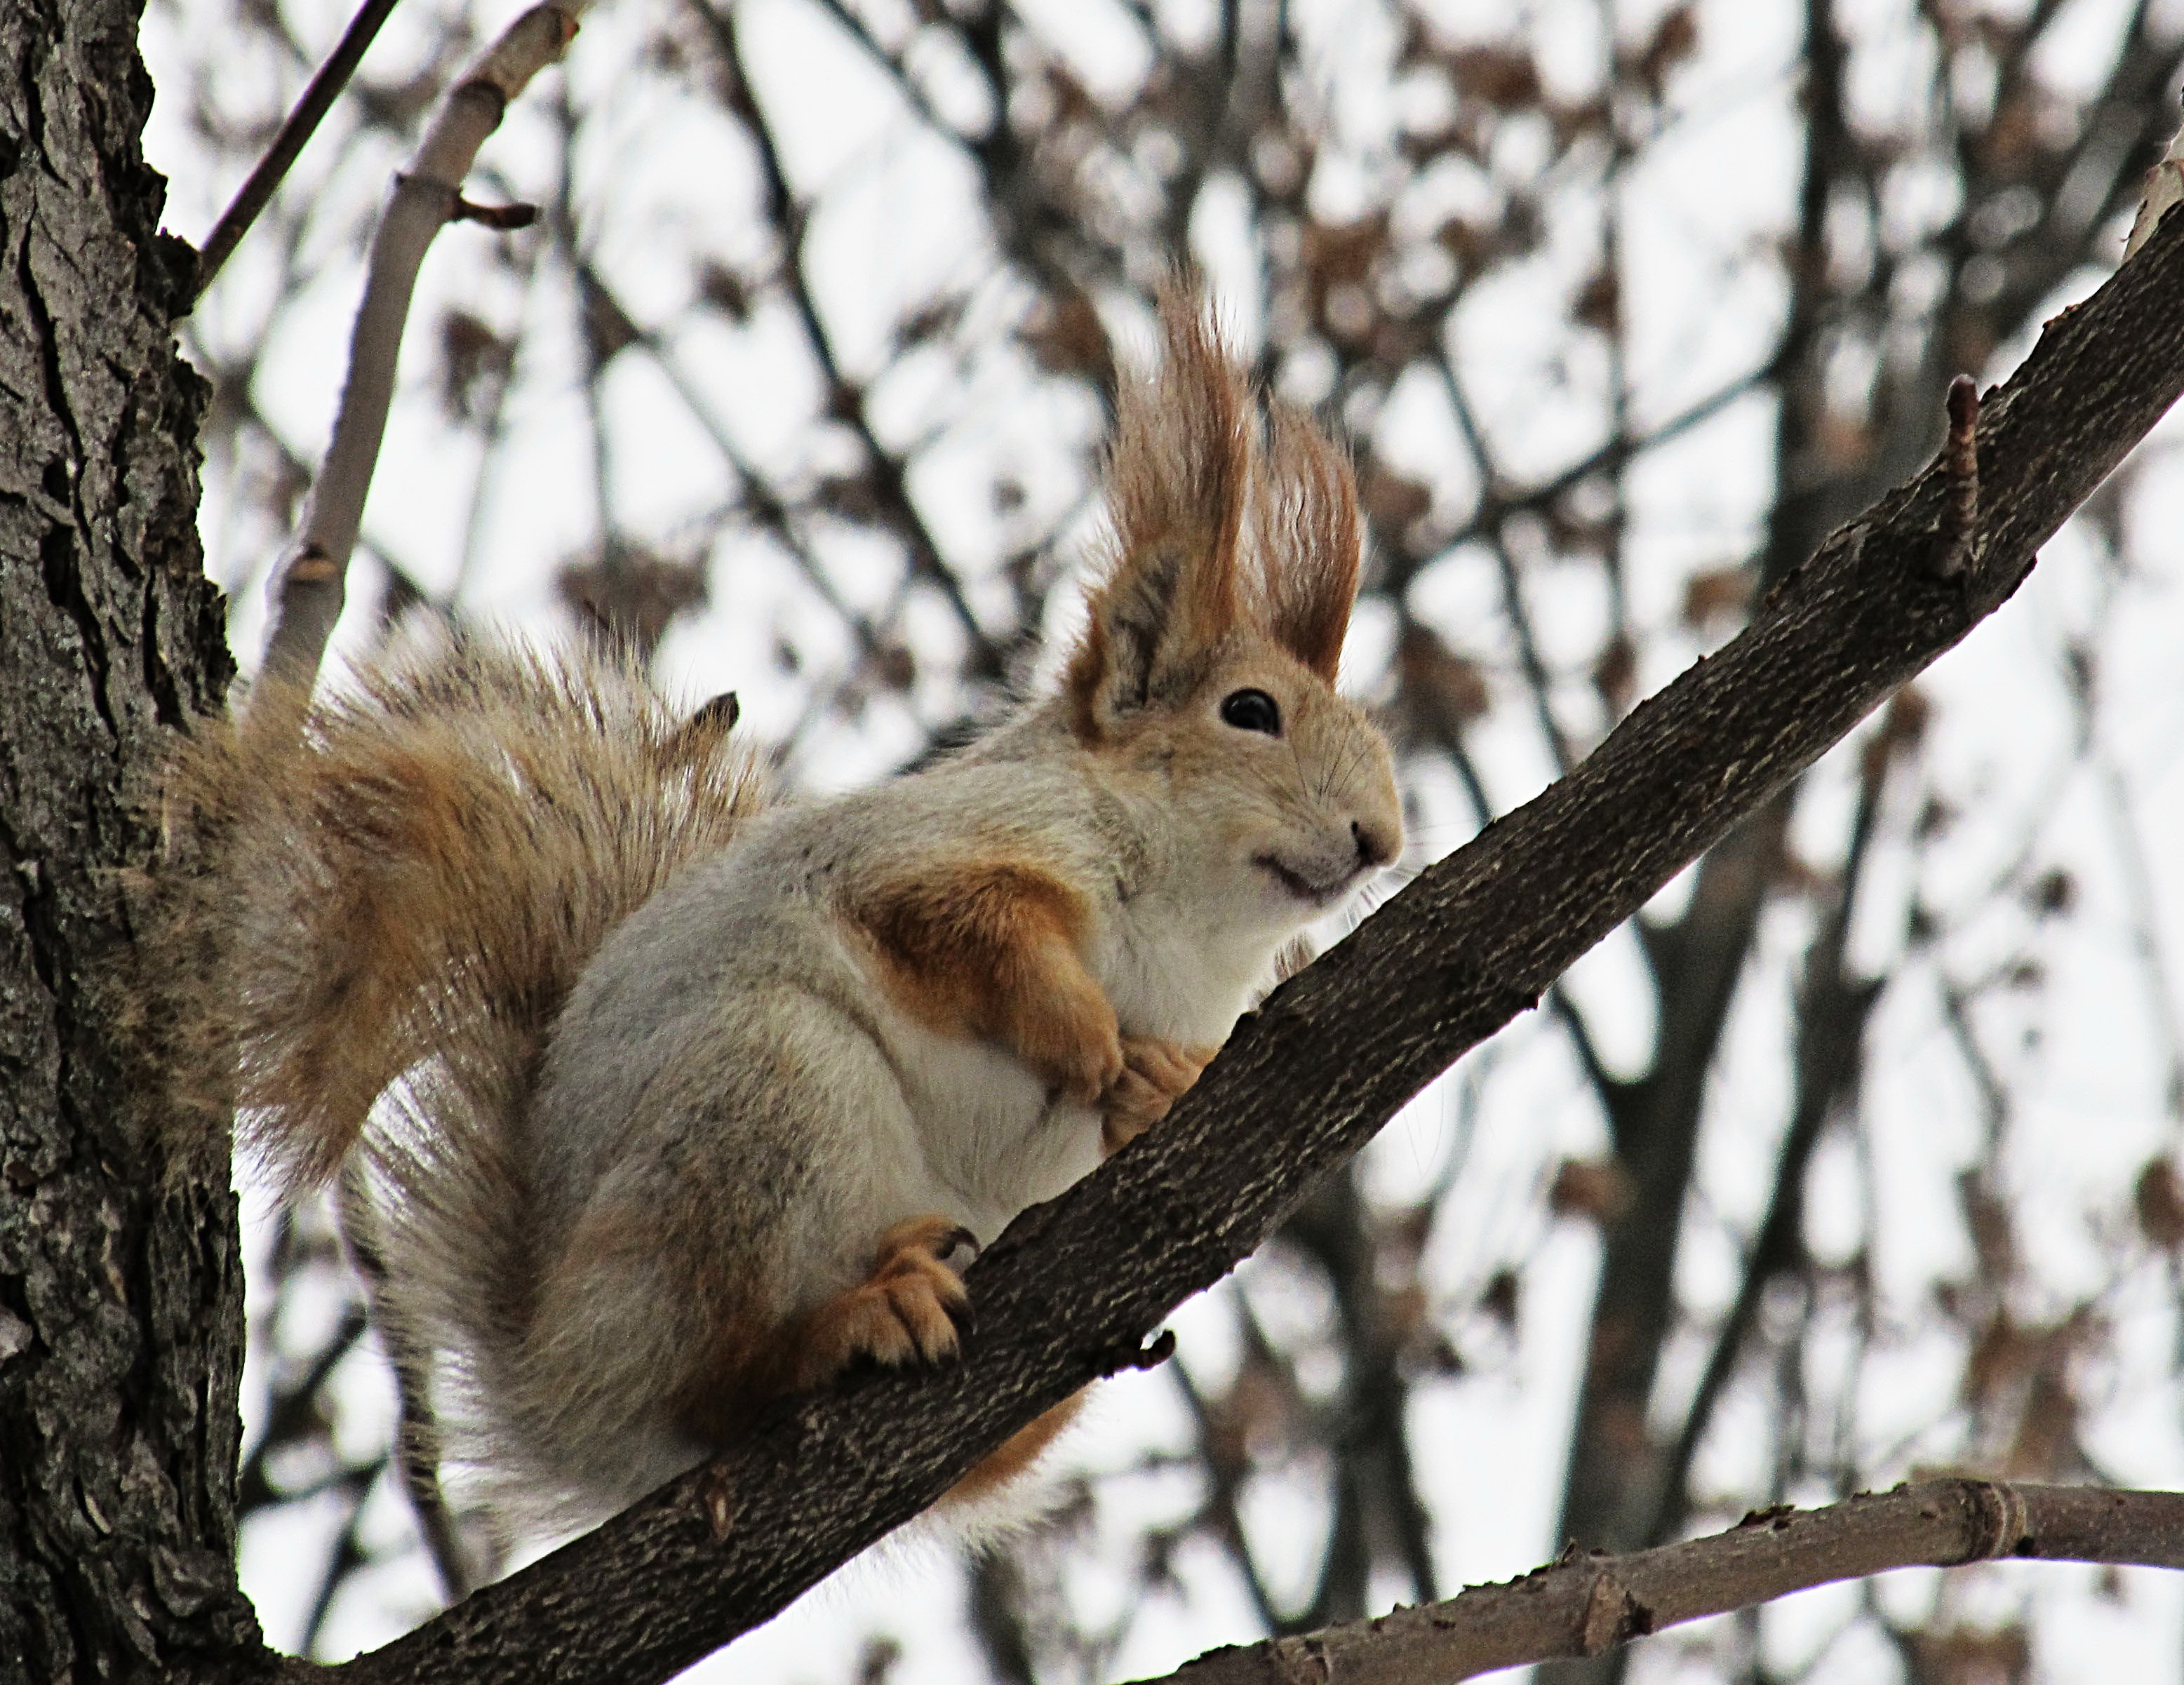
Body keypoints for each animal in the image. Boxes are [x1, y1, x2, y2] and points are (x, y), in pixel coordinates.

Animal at [161, 290, 1406, 1536]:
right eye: (1250, 712)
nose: (1381, 839)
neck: (1191, 938)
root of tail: (564, 1394)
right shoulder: (917, 859)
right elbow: (972, 936)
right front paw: (1092, 1042)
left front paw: (1156, 1085)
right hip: (762, 1095)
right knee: (719, 1381)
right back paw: (845, 1323)